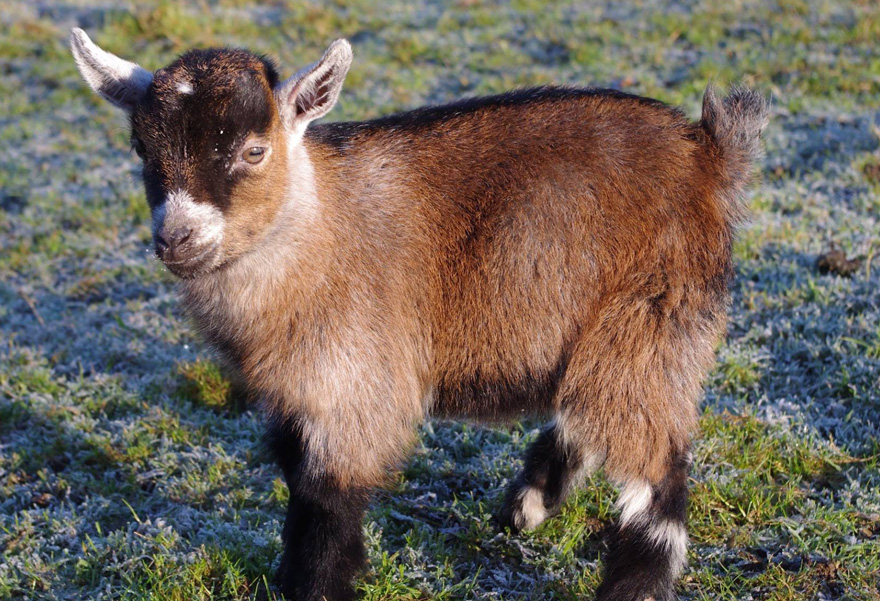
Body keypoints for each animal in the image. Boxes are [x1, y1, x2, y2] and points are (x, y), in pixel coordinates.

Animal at [70, 28, 768, 601]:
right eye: (141, 148)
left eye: (254, 151)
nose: (177, 239)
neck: (317, 231)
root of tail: (707, 150)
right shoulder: (296, 396)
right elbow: (298, 480)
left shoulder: (352, 386)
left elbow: (324, 502)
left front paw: (314, 587)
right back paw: (524, 508)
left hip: (651, 318)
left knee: (656, 476)